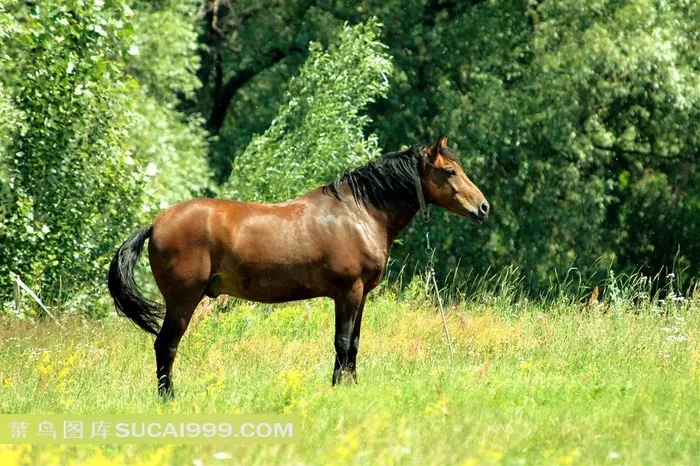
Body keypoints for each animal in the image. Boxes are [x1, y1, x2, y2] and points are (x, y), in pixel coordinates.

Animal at [108, 136, 489, 397]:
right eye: (450, 171)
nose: (484, 207)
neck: (359, 213)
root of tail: (156, 223)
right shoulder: (348, 293)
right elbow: (342, 343)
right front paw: (338, 389)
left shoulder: (361, 296)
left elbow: (354, 343)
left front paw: (351, 386)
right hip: (183, 301)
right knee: (165, 346)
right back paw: (168, 398)